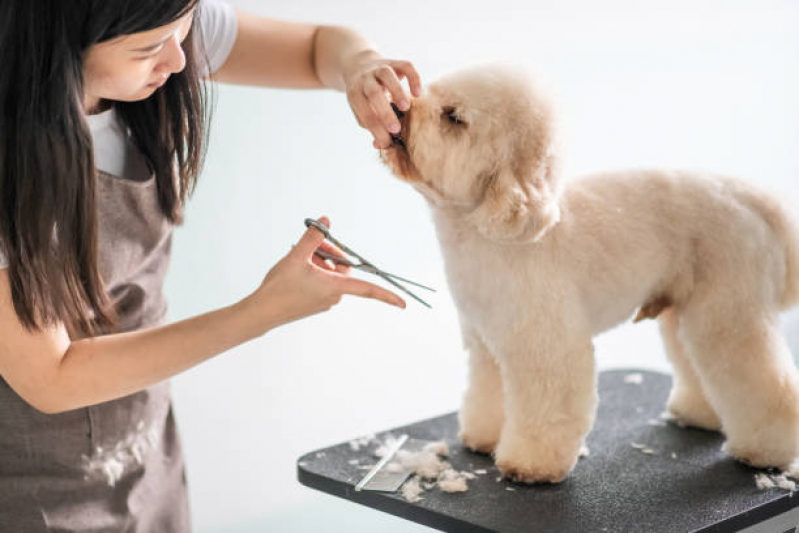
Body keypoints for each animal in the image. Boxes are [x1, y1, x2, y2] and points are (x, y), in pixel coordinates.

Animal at [380, 65, 799, 482]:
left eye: (453, 117)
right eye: (426, 91)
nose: (397, 109)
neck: (493, 229)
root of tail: (752, 197)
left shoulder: (546, 345)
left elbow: (547, 407)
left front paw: (529, 464)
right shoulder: (487, 342)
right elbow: (489, 393)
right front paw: (485, 437)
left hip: (728, 312)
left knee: (763, 382)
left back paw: (766, 451)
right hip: (687, 310)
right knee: (696, 362)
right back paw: (697, 414)